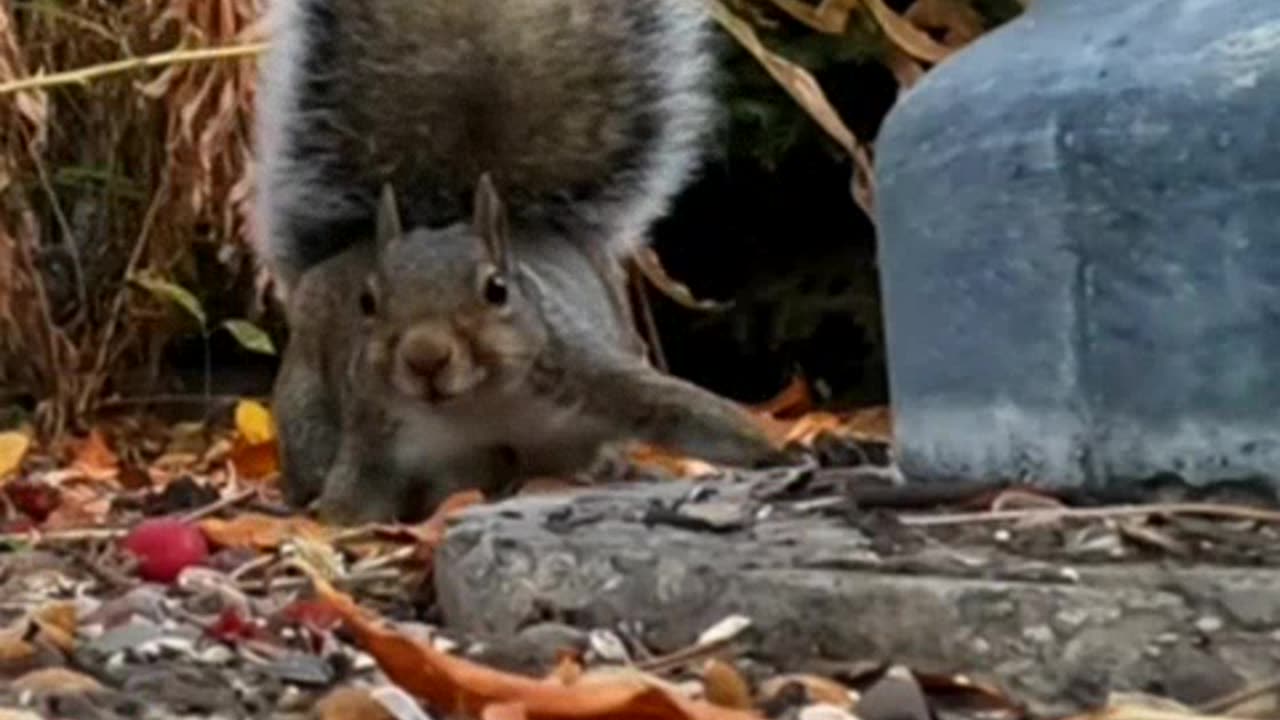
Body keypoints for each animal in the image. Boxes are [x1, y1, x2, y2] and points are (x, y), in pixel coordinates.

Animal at [275, 180, 783, 520]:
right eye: (367, 302)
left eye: (497, 289)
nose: (425, 358)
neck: (479, 403)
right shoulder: (377, 428)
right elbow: (353, 498)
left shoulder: (587, 373)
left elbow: (681, 409)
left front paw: (773, 452)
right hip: (306, 412)